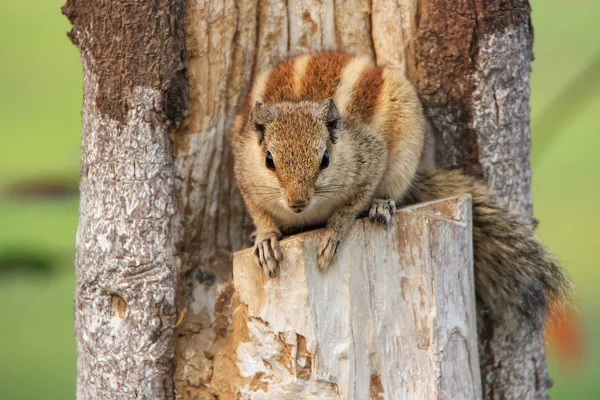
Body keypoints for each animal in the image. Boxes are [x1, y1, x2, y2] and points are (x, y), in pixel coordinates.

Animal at [230, 51, 572, 330]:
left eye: (325, 159)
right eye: (269, 160)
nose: (297, 202)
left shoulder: (371, 159)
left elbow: (351, 205)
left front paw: (333, 235)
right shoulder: (244, 174)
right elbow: (259, 211)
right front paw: (265, 238)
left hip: (405, 151)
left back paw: (382, 205)